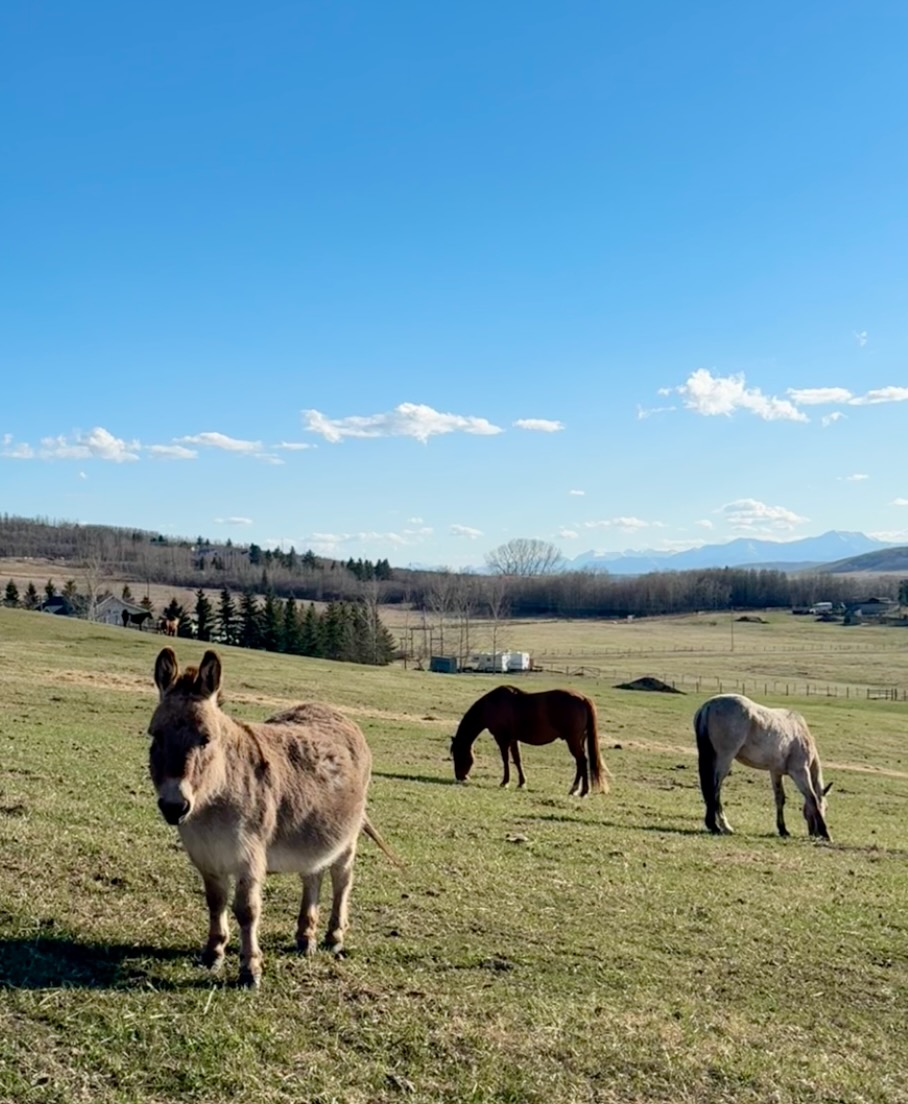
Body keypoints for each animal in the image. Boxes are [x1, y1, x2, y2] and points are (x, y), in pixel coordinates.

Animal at [147, 647, 398, 987]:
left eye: (206, 739)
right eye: (155, 736)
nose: (174, 806)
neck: (211, 804)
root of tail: (336, 712)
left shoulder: (249, 857)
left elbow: (247, 910)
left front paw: (249, 970)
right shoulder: (207, 857)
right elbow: (215, 901)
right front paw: (213, 953)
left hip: (347, 839)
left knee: (341, 880)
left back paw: (334, 937)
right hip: (314, 832)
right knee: (313, 876)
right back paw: (306, 937)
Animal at [450, 685, 609, 796]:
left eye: (457, 755)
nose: (460, 777)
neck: (492, 705)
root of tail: (583, 698)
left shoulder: (502, 738)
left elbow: (505, 760)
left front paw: (505, 782)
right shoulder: (513, 739)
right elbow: (517, 759)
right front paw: (521, 783)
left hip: (573, 741)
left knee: (582, 761)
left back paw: (581, 790)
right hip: (578, 740)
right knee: (580, 763)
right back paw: (577, 789)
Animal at [693, 693, 832, 840]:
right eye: (826, 807)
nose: (814, 834)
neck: (801, 734)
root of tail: (708, 705)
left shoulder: (776, 772)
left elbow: (780, 798)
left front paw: (783, 829)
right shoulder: (800, 772)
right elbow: (812, 798)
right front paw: (825, 833)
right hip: (724, 759)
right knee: (714, 789)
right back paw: (718, 826)